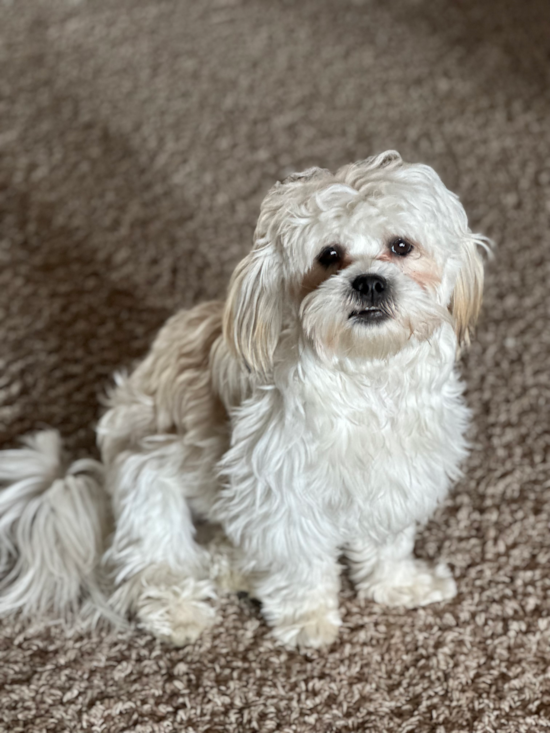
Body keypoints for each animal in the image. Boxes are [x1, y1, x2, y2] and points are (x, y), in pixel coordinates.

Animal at [0, 150, 492, 648]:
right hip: (147, 476)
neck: (367, 376)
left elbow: (388, 544)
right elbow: (300, 562)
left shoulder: (399, 476)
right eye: (329, 255)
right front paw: (307, 618)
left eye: (401, 246)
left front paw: (400, 586)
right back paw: (181, 608)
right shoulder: (282, 493)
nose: (369, 282)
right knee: (154, 562)